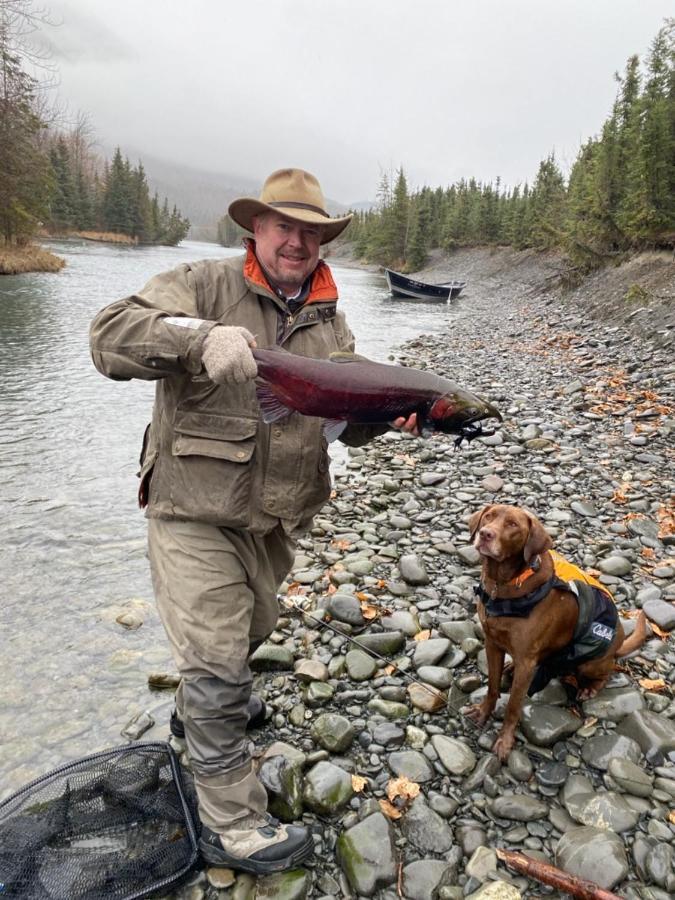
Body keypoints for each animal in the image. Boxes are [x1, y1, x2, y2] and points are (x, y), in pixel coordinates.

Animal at [462, 502, 648, 764]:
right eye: (488, 516)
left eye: (512, 525)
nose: (485, 534)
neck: (504, 584)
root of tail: (619, 643)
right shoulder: (492, 644)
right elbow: (492, 687)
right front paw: (483, 711)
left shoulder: (527, 662)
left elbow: (513, 706)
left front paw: (505, 741)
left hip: (590, 663)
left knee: (607, 672)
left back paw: (590, 687)